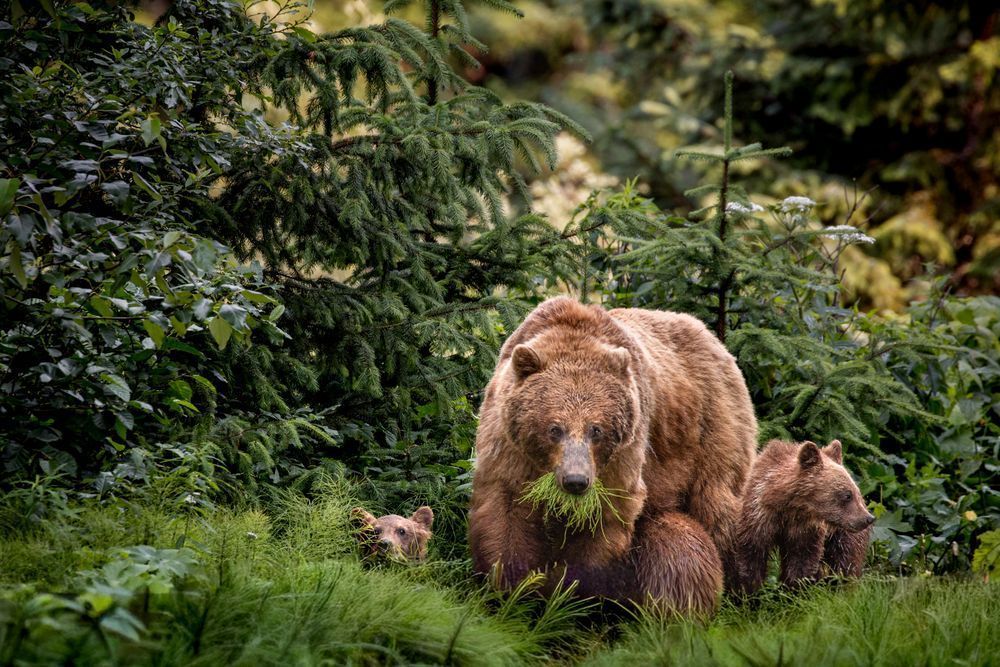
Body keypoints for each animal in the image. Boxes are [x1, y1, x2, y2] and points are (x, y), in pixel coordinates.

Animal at [468, 296, 757, 614]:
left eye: (596, 429)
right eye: (554, 428)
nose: (576, 480)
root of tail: (714, 339)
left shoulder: (623, 456)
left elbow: (604, 521)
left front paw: (570, 593)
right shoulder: (508, 447)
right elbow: (506, 511)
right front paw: (513, 591)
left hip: (714, 428)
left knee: (717, 505)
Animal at [733, 439, 874, 595]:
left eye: (855, 492)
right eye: (847, 495)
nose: (868, 518)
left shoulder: (806, 530)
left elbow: (801, 561)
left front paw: (793, 590)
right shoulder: (759, 516)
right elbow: (752, 554)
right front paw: (749, 591)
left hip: (841, 535)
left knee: (845, 561)